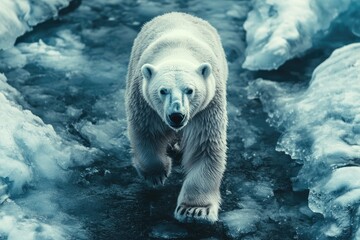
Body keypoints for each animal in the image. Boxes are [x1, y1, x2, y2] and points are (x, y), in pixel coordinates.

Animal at [126, 11, 228, 223]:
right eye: (162, 90)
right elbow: (146, 133)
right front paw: (157, 174)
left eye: (189, 90)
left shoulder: (206, 108)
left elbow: (204, 146)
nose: (176, 116)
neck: (177, 51)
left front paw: (195, 210)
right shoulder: (144, 102)